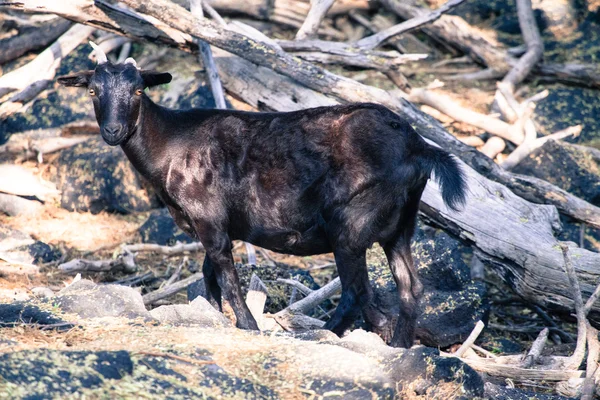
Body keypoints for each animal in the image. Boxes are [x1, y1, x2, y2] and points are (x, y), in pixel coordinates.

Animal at [58, 43, 466, 348]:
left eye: (139, 89)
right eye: (93, 90)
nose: (113, 130)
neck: (169, 145)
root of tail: (417, 147)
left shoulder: (208, 217)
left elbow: (225, 275)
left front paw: (248, 326)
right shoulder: (216, 223)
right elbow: (208, 276)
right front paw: (214, 316)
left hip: (351, 225)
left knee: (355, 291)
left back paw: (321, 335)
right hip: (400, 225)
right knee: (409, 287)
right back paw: (398, 344)